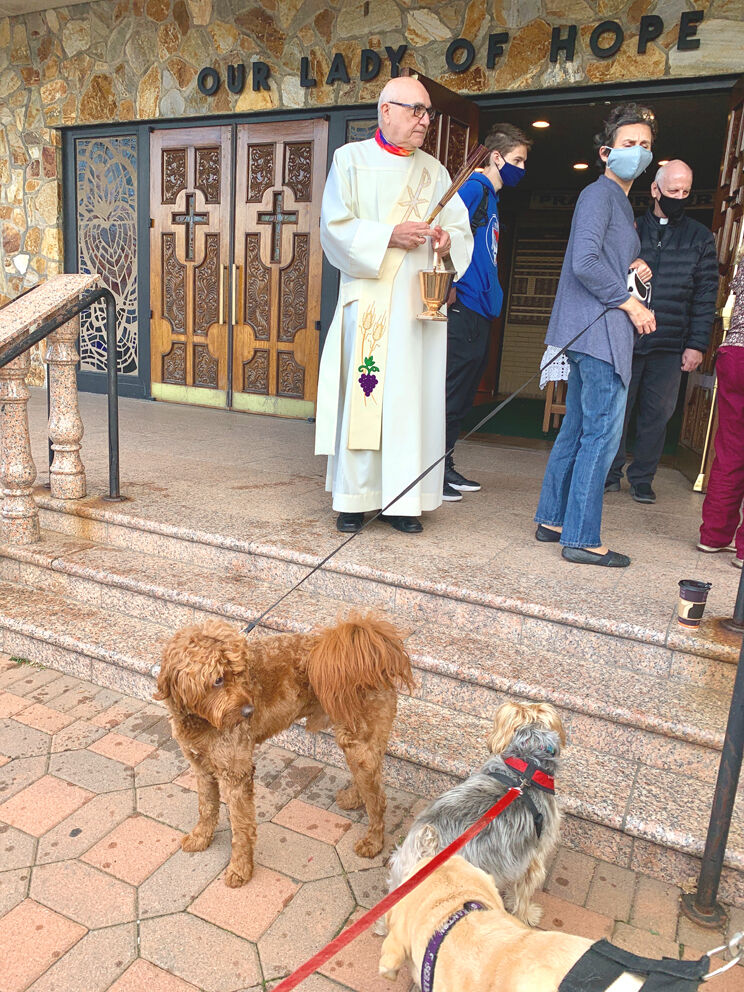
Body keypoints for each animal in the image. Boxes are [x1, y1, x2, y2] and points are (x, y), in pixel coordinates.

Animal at [155, 616, 416, 888]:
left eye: (240, 674)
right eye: (218, 679)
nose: (249, 711)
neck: (199, 719)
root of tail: (375, 652)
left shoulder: (236, 775)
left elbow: (241, 827)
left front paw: (240, 869)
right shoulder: (201, 767)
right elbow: (206, 807)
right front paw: (200, 838)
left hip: (359, 740)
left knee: (378, 799)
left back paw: (373, 842)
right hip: (355, 742)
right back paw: (354, 798)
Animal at [390, 700, 564, 928]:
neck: (527, 766)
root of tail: (429, 842)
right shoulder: (534, 857)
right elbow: (523, 893)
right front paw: (527, 915)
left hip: (403, 869)